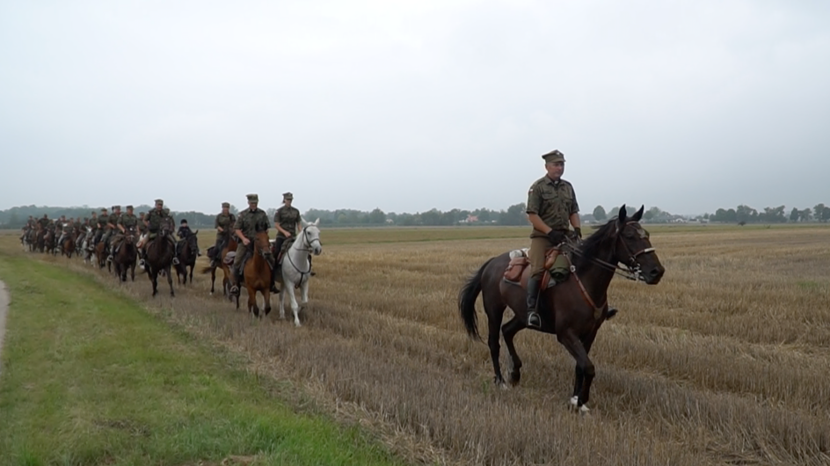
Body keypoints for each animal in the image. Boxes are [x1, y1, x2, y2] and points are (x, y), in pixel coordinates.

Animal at [458, 206, 668, 414]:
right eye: (630, 236)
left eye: (647, 234)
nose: (657, 272)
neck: (584, 279)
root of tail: (492, 262)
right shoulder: (566, 334)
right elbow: (588, 367)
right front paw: (582, 401)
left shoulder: (590, 333)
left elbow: (580, 366)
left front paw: (575, 399)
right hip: (494, 310)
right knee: (494, 343)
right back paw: (500, 380)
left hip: (522, 316)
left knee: (508, 331)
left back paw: (515, 373)